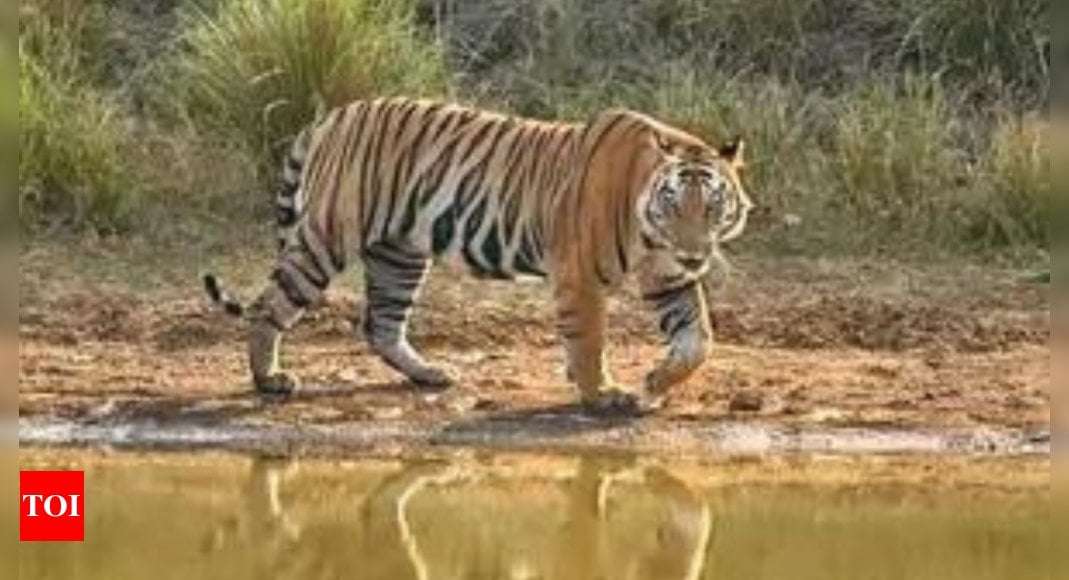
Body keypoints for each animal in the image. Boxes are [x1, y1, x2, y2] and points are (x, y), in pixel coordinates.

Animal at [203, 97, 753, 415]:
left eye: (713, 207)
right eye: (673, 204)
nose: (693, 254)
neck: (652, 234)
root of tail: (333, 115)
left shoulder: (668, 278)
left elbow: (698, 340)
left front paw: (656, 381)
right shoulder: (579, 275)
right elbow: (589, 339)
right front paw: (602, 394)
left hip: (399, 252)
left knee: (381, 324)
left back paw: (429, 373)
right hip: (326, 238)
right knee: (269, 306)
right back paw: (269, 380)